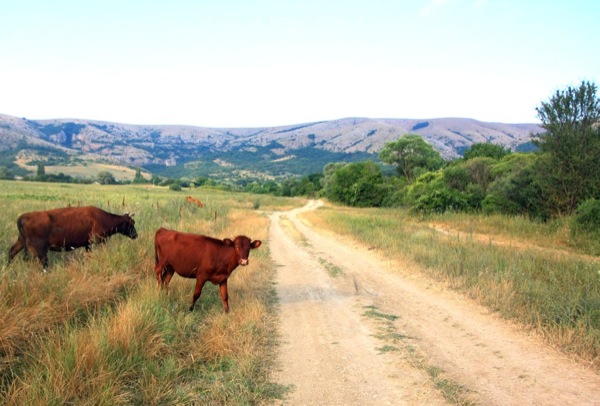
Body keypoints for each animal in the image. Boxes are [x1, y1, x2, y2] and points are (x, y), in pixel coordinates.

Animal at [7, 206, 138, 270]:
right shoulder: (95, 242)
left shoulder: (87, 244)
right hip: (38, 249)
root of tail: (24, 216)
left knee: (12, 252)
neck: (103, 218)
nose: (136, 235)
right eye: (131, 223)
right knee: (43, 263)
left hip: (21, 241)